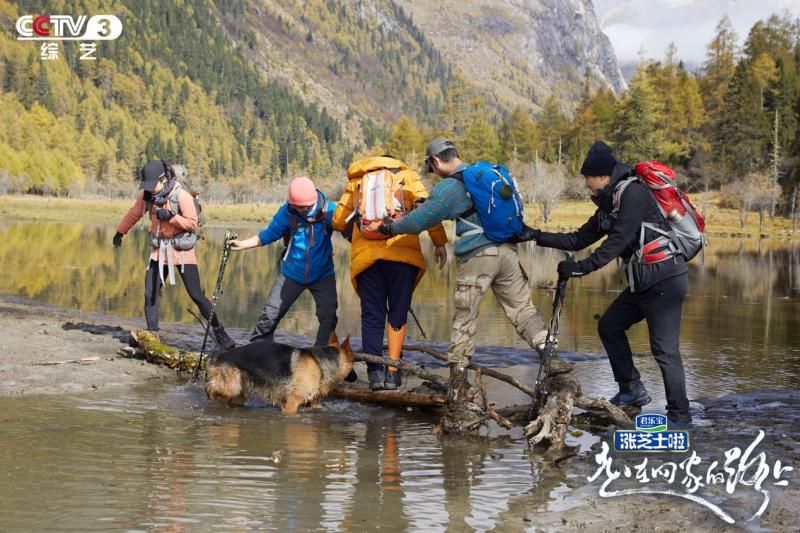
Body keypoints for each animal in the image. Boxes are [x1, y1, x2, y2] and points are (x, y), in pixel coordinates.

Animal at [206, 330, 354, 414]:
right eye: (354, 361)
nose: (354, 377)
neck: (319, 363)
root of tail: (222, 355)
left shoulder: (314, 403)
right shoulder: (291, 403)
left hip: (240, 393)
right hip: (231, 388)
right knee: (212, 388)